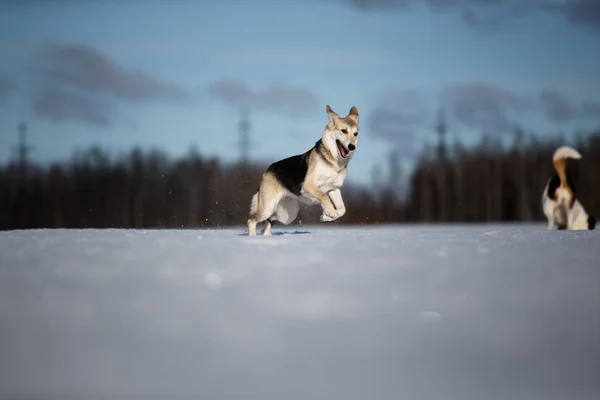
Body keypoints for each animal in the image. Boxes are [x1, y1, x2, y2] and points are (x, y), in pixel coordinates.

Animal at [246, 104, 358, 234]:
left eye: (356, 134)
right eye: (344, 131)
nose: (352, 147)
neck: (332, 160)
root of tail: (266, 171)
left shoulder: (333, 189)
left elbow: (342, 210)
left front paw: (326, 216)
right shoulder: (308, 186)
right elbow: (324, 197)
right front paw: (330, 212)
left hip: (286, 213)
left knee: (268, 224)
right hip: (268, 208)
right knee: (251, 221)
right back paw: (253, 236)